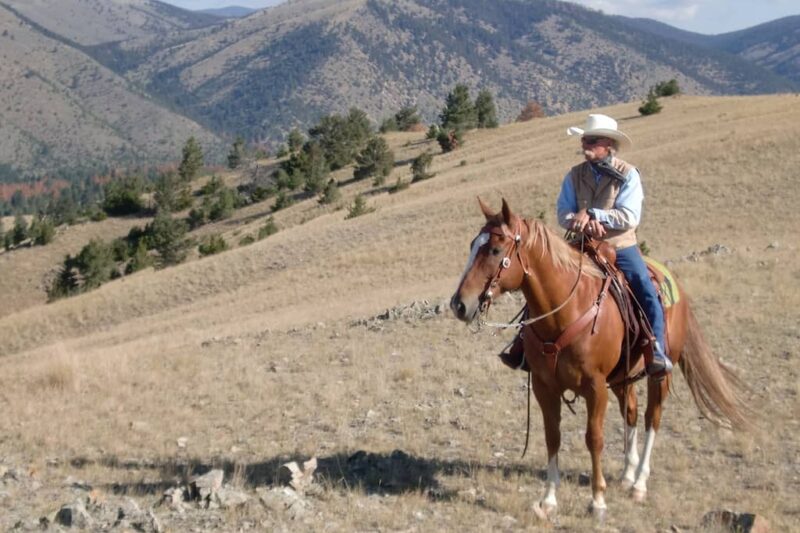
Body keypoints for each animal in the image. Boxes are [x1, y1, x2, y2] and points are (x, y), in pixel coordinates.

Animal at [450, 198, 752, 516]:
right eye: (473, 245)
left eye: (495, 250)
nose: (459, 304)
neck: (564, 312)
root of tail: (675, 284)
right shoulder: (545, 387)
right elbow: (552, 436)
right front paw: (548, 499)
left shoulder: (595, 388)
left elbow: (594, 438)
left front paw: (597, 500)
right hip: (622, 377)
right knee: (631, 410)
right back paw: (628, 473)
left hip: (660, 374)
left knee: (652, 417)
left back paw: (639, 483)